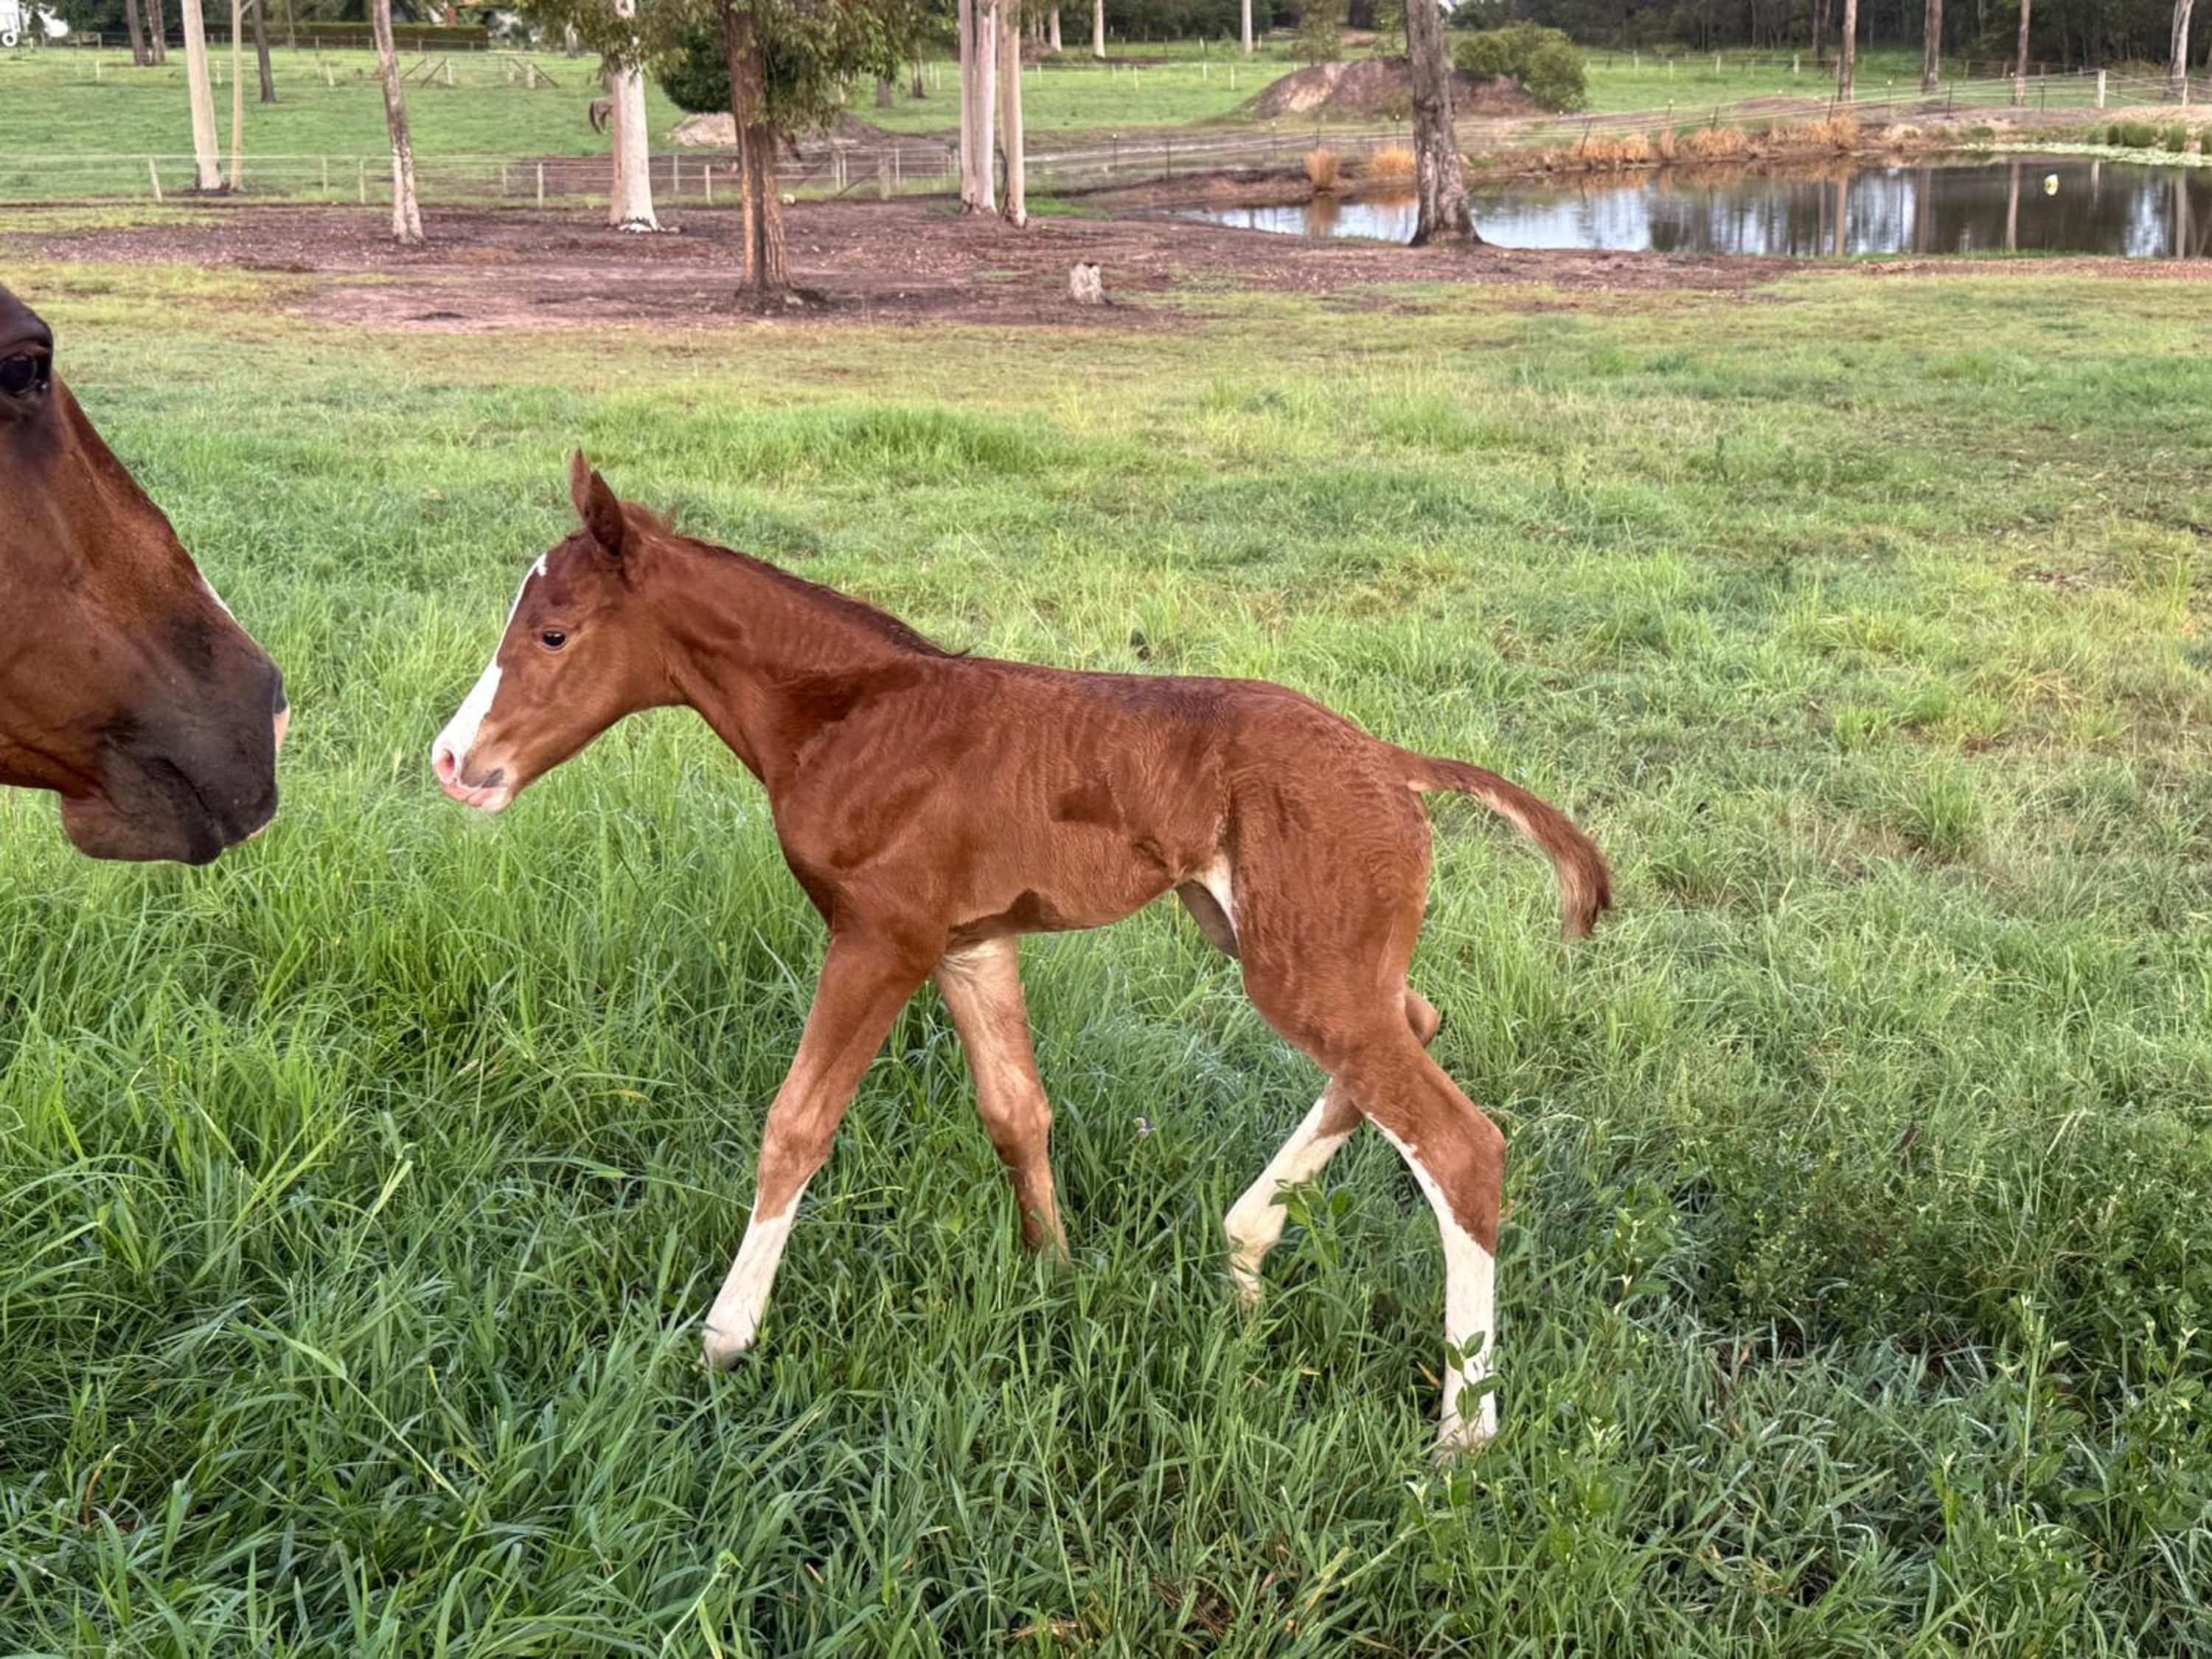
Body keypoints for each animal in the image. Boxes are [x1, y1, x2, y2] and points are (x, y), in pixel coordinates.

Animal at [432, 453, 1610, 1453]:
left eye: (554, 635)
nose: (452, 762)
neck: (847, 715)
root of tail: (1393, 763)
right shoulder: (970, 942)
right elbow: (1015, 1109)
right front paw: (1057, 1276)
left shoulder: (881, 936)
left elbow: (796, 1126)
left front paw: (725, 1337)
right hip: (1280, 941)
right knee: (1413, 1021)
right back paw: (1242, 1252)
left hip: (1300, 966)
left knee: (1461, 1143)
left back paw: (1462, 1435)